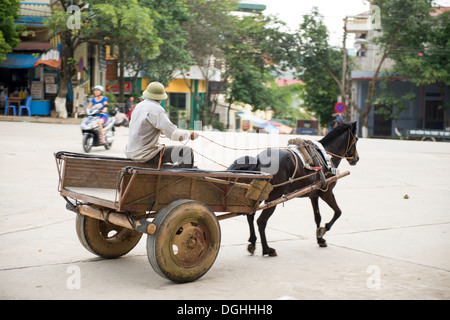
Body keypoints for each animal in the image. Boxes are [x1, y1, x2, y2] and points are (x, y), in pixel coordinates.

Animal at [229, 121, 358, 256]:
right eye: (357, 139)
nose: (356, 158)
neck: (325, 156)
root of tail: (258, 159)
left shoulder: (314, 195)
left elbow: (317, 217)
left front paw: (320, 239)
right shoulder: (327, 192)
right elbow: (338, 212)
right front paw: (323, 229)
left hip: (258, 194)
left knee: (250, 215)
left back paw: (253, 242)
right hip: (273, 197)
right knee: (261, 221)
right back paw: (267, 249)